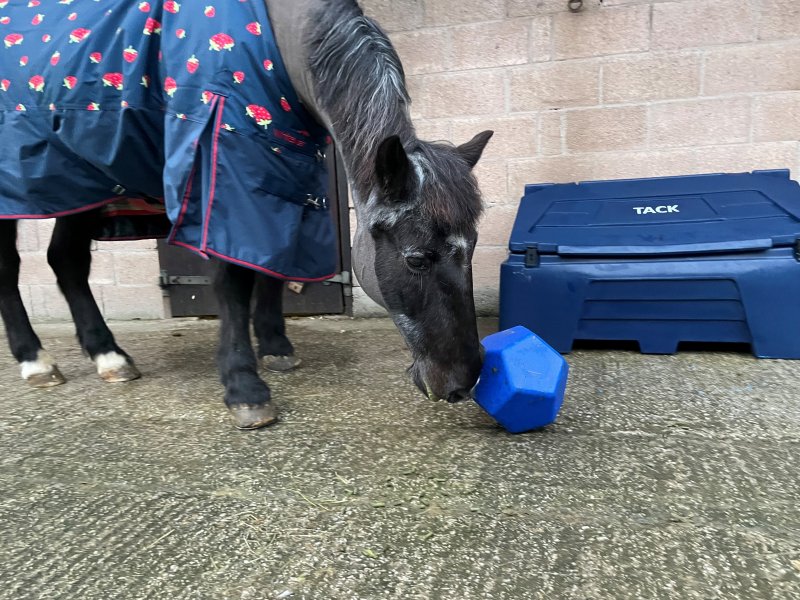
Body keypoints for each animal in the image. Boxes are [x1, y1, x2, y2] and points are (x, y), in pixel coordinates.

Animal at [0, 0, 493, 429]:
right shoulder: (223, 173)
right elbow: (234, 281)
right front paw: (244, 386)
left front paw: (275, 346)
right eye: (416, 258)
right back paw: (35, 361)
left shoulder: (289, 175)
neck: (276, 40)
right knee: (13, 267)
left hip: (82, 180)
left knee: (66, 261)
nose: (463, 383)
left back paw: (109, 356)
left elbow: (274, 267)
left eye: (472, 249)